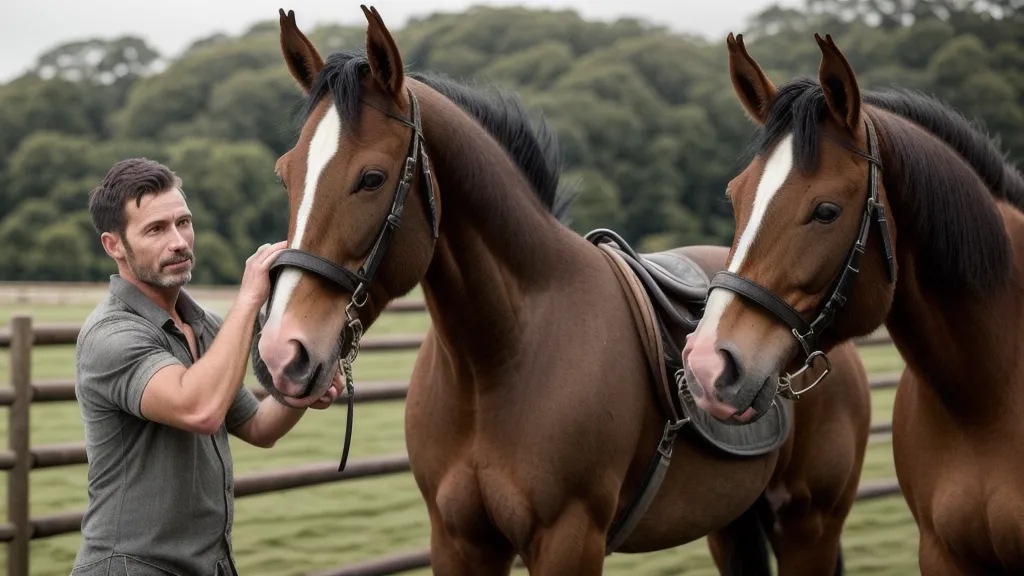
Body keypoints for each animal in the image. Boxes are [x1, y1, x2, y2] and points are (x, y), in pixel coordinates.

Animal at [251, 7, 872, 574]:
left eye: (372, 179)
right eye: (285, 174)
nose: (283, 352)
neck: (499, 358)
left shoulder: (569, 540)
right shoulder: (458, 542)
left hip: (809, 524)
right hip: (734, 524)